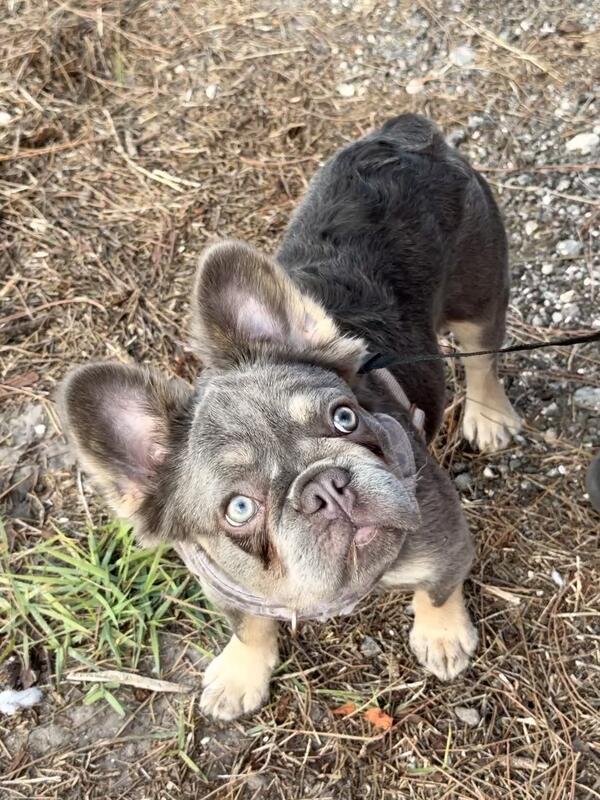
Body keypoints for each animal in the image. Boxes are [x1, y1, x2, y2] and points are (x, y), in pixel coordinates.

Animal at [59, 114, 522, 720]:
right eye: (238, 509)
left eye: (345, 418)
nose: (325, 485)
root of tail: (405, 135)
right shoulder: (225, 590)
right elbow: (250, 626)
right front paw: (241, 671)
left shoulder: (445, 546)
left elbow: (438, 590)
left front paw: (441, 634)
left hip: (478, 293)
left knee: (482, 356)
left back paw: (489, 415)